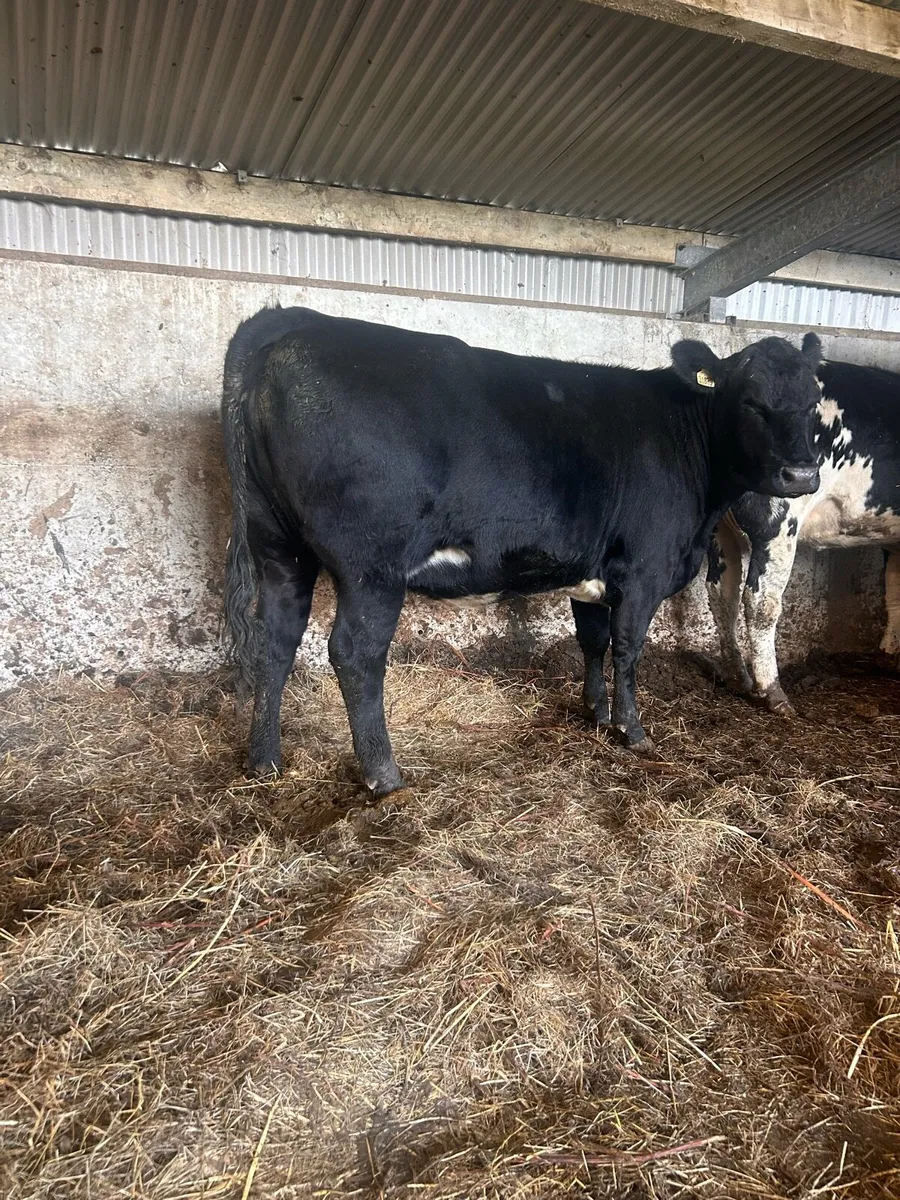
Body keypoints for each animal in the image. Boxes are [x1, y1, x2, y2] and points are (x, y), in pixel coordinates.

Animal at [221, 305, 821, 796]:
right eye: (750, 400)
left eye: (816, 404)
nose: (802, 474)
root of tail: (291, 323)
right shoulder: (644, 569)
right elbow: (628, 649)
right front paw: (632, 730)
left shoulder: (591, 569)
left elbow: (592, 641)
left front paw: (596, 713)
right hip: (371, 566)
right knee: (355, 654)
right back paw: (383, 774)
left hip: (277, 548)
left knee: (275, 642)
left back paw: (264, 761)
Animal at [707, 333, 900, 715]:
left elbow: (894, 587)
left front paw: (890, 656)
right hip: (779, 523)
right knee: (760, 602)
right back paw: (773, 691)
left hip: (722, 528)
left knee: (722, 594)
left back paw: (737, 676)